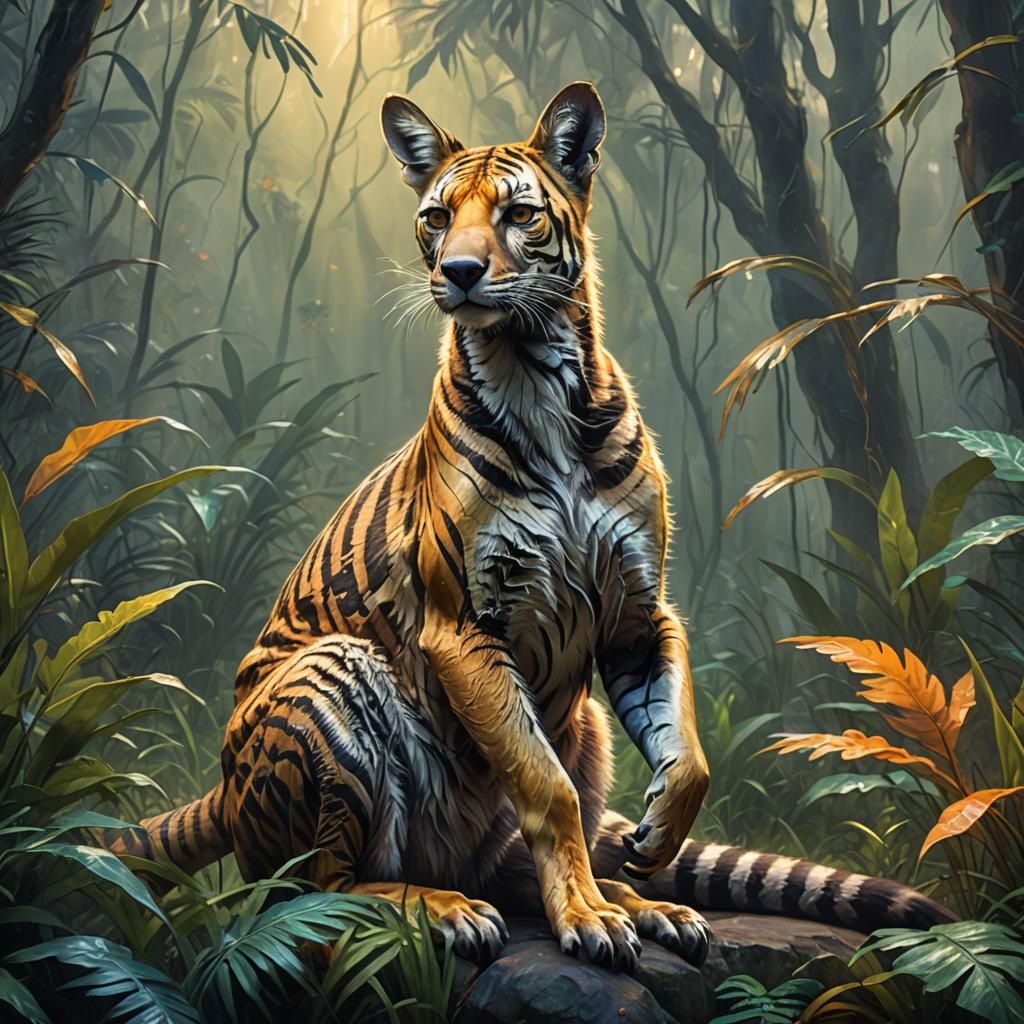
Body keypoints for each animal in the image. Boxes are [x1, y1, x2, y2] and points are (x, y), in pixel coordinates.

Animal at [115, 82, 955, 973]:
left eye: (518, 215)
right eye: (437, 217)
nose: (459, 271)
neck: (537, 374)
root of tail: (221, 789)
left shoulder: (637, 612)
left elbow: (685, 754)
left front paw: (652, 841)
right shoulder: (466, 626)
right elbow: (543, 786)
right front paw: (587, 918)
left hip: (585, 723)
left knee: (504, 859)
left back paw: (646, 903)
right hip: (331, 676)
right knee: (313, 890)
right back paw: (453, 909)